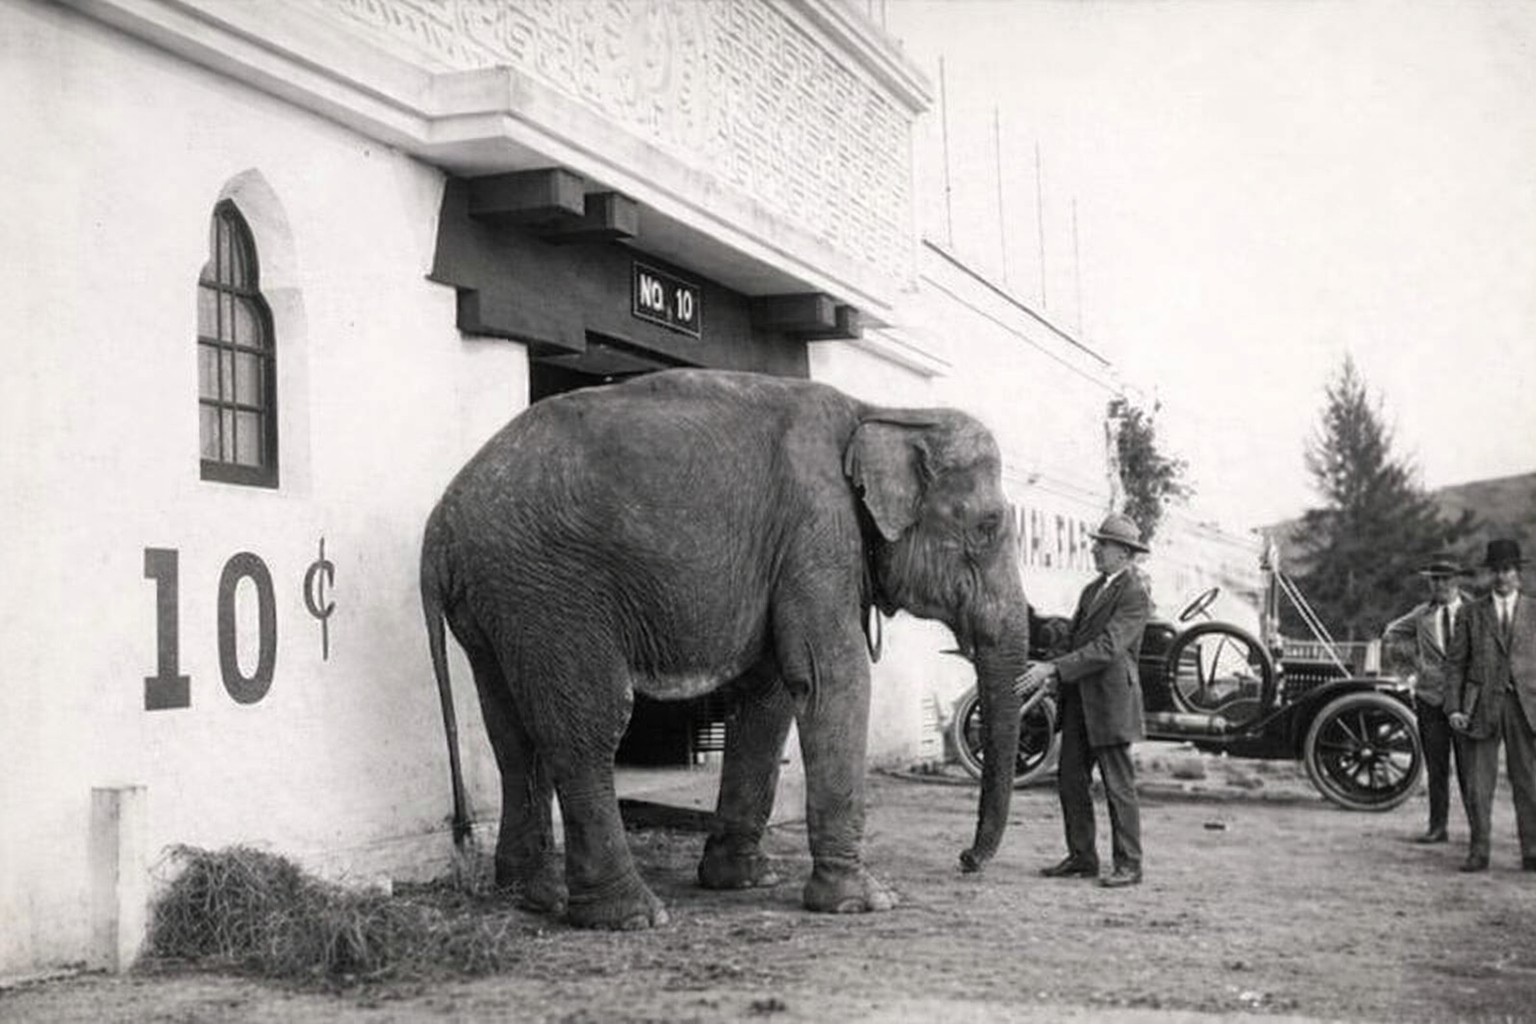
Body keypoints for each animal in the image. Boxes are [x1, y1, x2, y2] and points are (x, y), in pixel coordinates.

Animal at [420, 368, 1031, 929]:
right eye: (988, 526)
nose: (966, 860)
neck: (883, 409)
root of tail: (440, 524)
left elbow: (771, 695)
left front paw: (745, 880)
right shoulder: (817, 528)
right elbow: (832, 678)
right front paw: (863, 902)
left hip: (498, 600)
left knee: (511, 730)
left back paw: (536, 894)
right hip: (551, 585)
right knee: (589, 723)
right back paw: (629, 914)